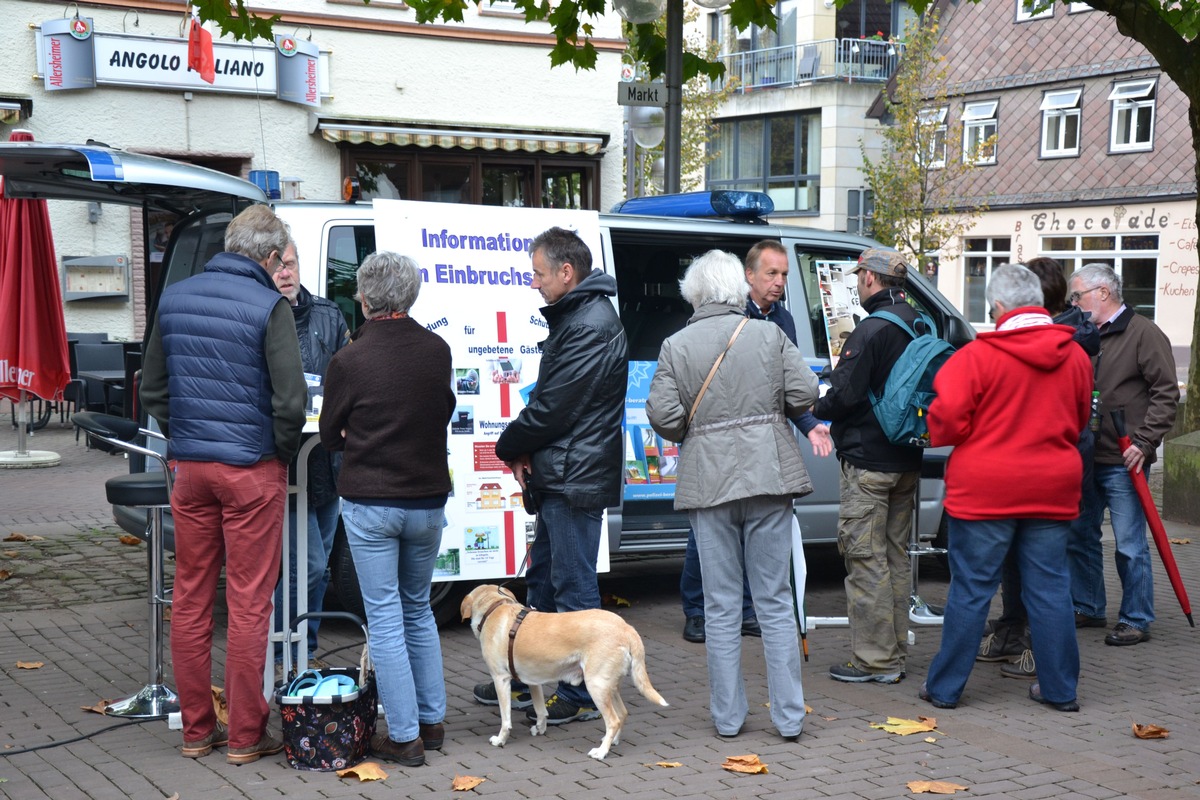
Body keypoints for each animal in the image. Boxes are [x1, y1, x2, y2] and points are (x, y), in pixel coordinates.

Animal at [460, 585, 672, 762]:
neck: (494, 607)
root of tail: (627, 628)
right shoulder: (534, 681)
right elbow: (540, 710)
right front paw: (540, 728)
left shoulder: (500, 679)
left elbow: (506, 719)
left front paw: (500, 739)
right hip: (609, 686)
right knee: (623, 714)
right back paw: (612, 741)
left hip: (596, 685)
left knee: (613, 720)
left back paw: (602, 752)